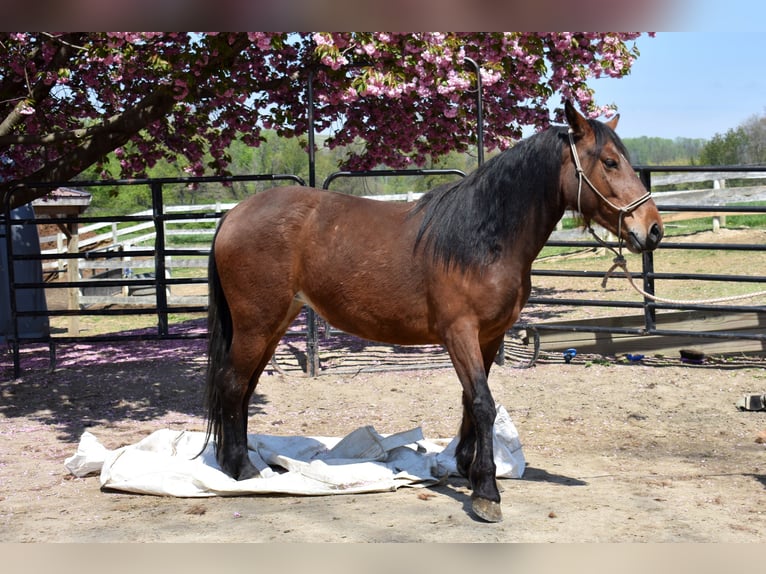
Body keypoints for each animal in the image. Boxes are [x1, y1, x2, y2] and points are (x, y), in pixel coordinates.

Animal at [202, 101, 664, 522]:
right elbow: (482, 402)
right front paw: (487, 492)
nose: (653, 229)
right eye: (609, 161)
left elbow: (470, 401)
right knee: (232, 383)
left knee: (243, 387)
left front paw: (466, 469)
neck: (484, 238)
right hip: (257, 323)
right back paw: (242, 470)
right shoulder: (459, 333)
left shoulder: (489, 336)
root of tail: (233, 216)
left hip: (273, 324)